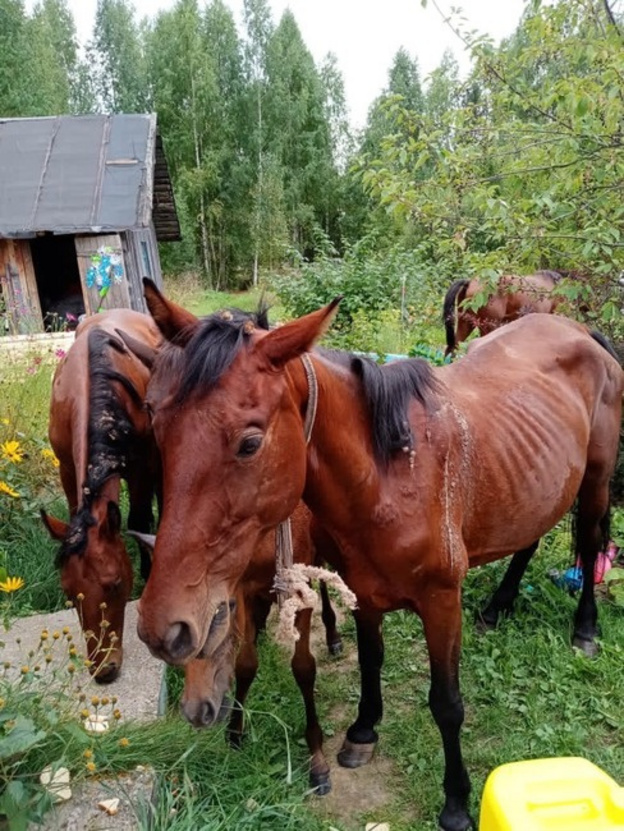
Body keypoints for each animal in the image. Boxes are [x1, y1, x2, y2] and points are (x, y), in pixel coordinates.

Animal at [40, 308, 161, 684]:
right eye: (68, 592)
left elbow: (139, 520)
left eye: (115, 584)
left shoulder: (143, 466)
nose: (103, 670)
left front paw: (148, 576)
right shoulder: (66, 466)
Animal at [133, 282, 624, 831]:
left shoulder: (441, 602)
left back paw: (584, 628)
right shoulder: (363, 593)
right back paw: (498, 607)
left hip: (596, 479)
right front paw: (363, 731)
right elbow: (371, 661)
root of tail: (579, 329)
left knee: (589, 539)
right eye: (155, 421)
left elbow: (446, 702)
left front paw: (456, 802)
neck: (389, 479)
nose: (164, 628)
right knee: (530, 539)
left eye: (250, 442)